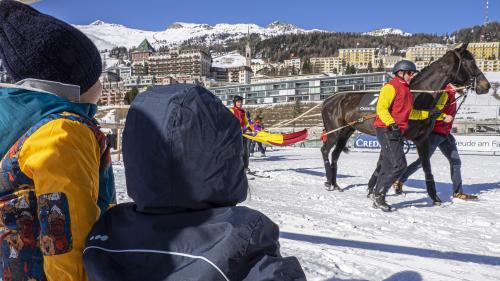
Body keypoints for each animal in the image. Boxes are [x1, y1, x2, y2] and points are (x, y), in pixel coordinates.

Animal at [322, 43, 490, 201]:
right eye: (470, 61)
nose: (486, 85)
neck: (417, 97)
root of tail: (328, 100)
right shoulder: (395, 138)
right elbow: (385, 164)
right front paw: (375, 190)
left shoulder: (421, 139)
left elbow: (425, 166)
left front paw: (434, 197)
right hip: (334, 132)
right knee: (325, 150)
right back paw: (329, 180)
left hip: (345, 132)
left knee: (335, 154)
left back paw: (334, 183)